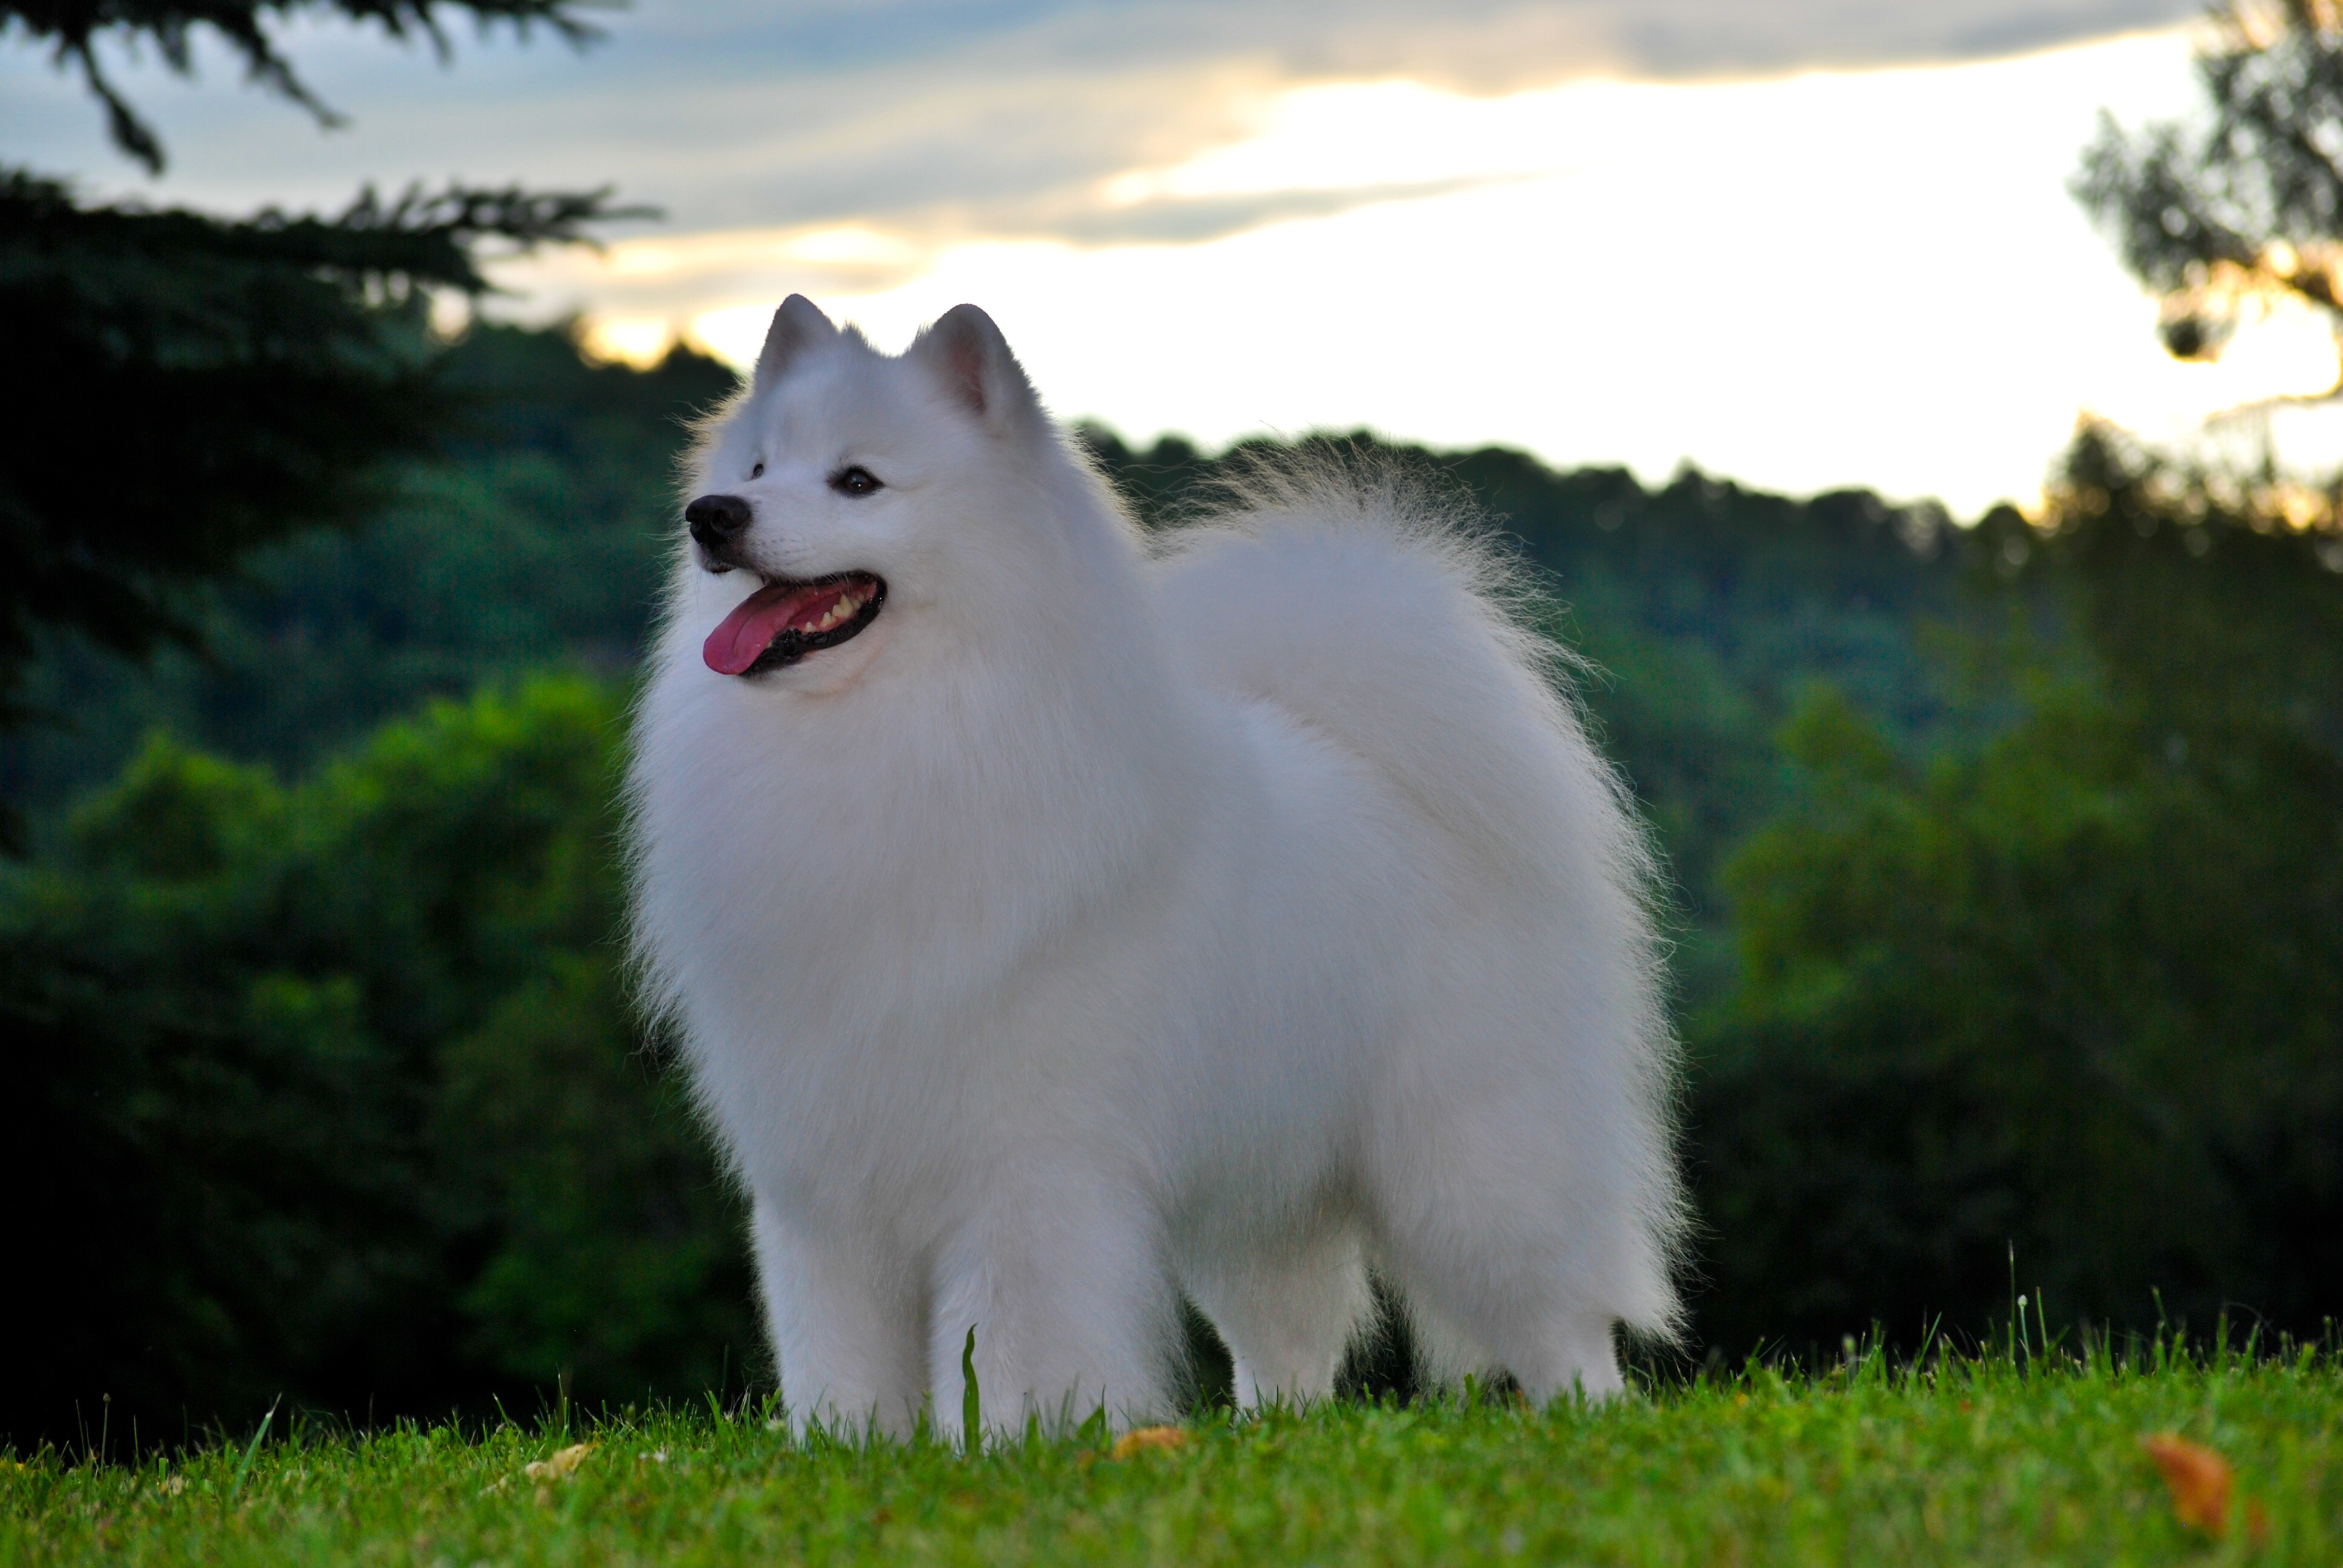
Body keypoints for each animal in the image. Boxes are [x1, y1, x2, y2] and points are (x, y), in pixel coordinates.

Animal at [623, 299, 1686, 1434]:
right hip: (1262, 1182)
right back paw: (1272, 1436)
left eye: (857, 481)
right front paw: (852, 1450)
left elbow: (1015, 1342)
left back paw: (1589, 1417)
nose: (711, 515)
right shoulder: (823, 1187)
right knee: (1287, 1342)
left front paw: (1020, 1444)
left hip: (1471, 1165)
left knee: (1557, 1313)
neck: (888, 737)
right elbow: (839, 1358)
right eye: (759, 465)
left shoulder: (1026, 1170)